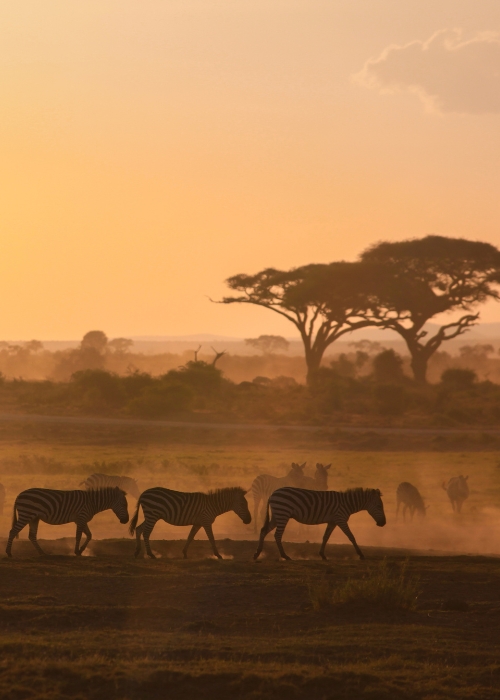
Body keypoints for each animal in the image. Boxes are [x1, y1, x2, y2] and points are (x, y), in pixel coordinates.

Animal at [254, 486, 386, 564]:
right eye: (379, 506)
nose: (383, 523)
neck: (347, 504)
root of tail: (272, 494)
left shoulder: (333, 521)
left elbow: (325, 537)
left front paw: (322, 555)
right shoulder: (341, 519)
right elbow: (351, 537)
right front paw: (361, 555)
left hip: (277, 515)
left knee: (263, 530)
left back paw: (257, 553)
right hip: (282, 514)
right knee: (277, 535)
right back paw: (285, 556)